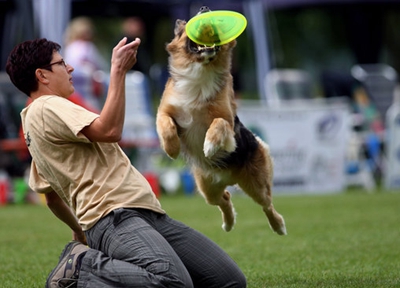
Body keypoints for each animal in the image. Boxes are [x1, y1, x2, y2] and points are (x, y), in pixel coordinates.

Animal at [155, 7, 286, 236]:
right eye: (192, 19)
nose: (205, 8)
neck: (201, 70)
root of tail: (229, 178)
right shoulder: (166, 111)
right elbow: (166, 124)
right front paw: (171, 149)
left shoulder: (227, 121)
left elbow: (218, 123)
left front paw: (209, 145)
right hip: (207, 187)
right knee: (224, 198)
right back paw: (228, 223)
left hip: (256, 183)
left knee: (266, 204)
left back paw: (278, 226)